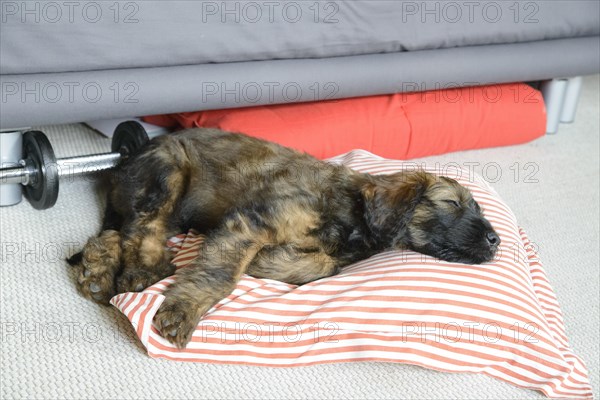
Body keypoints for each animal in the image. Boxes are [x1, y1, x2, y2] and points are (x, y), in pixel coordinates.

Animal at [68, 128, 500, 346]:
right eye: (453, 203)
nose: (496, 240)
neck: (351, 213)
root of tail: (126, 160)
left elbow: (321, 264)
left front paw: (270, 262)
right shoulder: (252, 223)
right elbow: (221, 275)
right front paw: (184, 310)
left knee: (112, 234)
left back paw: (97, 272)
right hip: (169, 174)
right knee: (142, 231)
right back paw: (139, 270)